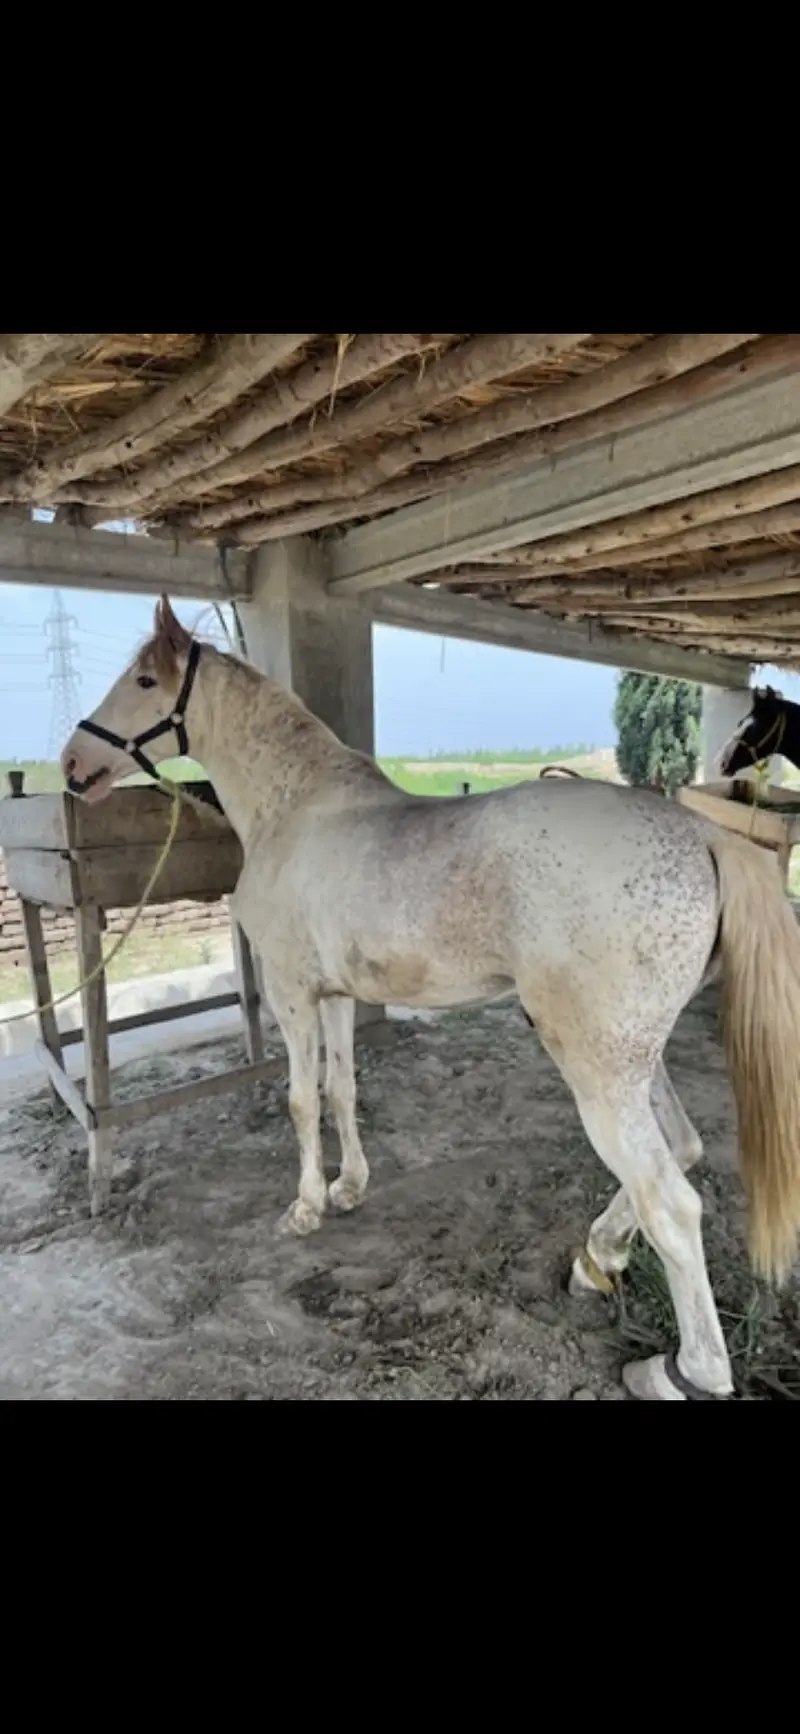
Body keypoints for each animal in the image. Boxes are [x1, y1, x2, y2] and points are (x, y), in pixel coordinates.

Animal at [60, 596, 800, 1402]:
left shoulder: (291, 992)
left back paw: (685, 1369)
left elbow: (300, 1101)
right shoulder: (337, 995)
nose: (71, 764)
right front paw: (349, 1186)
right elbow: (342, 1090)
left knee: (670, 1201)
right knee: (683, 1149)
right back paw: (597, 1257)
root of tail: (702, 834)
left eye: (143, 681)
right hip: (637, 1059)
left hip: (600, 1071)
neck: (295, 808)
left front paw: (305, 1207)